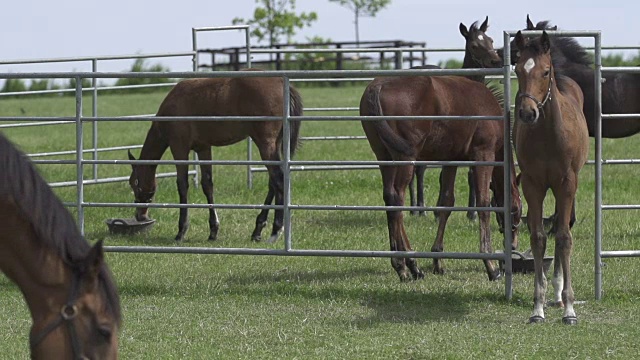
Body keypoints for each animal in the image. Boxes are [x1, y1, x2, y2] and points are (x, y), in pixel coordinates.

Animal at [129, 70, 304, 243]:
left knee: (279, 180)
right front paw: (213, 230)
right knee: (273, 182)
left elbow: (182, 185)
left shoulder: (179, 147)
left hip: (265, 144)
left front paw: (181, 231)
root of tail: (281, 83)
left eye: (134, 183)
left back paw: (276, 229)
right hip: (275, 144)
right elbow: (207, 185)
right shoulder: (203, 148)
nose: (140, 216)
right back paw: (258, 229)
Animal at [410, 16, 504, 221]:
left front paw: (472, 214)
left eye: (491, 40)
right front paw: (439, 211)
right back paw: (418, 209)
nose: (495, 61)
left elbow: (471, 176)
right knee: (417, 170)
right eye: (474, 45)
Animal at [512, 30, 592, 324]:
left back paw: (559, 293)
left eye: (545, 72)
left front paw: (570, 309)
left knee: (562, 224)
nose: (527, 113)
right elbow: (538, 238)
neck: (548, 136)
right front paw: (537, 308)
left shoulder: (566, 184)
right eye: (517, 69)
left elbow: (564, 237)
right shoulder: (532, 184)